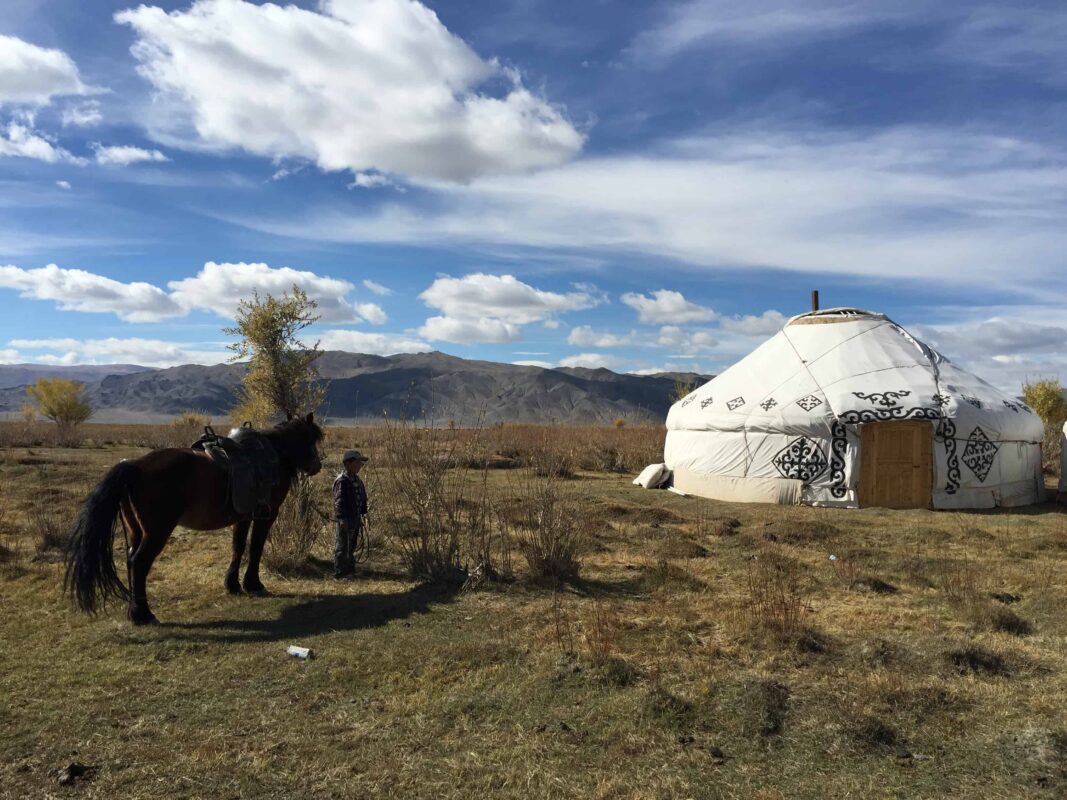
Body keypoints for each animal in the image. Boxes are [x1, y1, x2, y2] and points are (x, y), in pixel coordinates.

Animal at [65, 413, 322, 627]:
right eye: (311, 440)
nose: (317, 466)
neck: (274, 456)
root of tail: (134, 466)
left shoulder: (243, 516)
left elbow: (238, 547)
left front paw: (233, 585)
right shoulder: (267, 515)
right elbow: (256, 547)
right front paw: (254, 584)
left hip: (134, 530)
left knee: (130, 561)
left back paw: (134, 611)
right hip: (156, 532)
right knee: (139, 563)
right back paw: (144, 615)